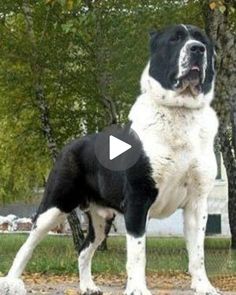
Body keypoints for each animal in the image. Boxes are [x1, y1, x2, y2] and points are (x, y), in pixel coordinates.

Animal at [0, 25, 221, 295]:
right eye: (175, 39)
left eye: (202, 42)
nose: (196, 49)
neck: (180, 114)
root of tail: (71, 144)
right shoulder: (138, 199)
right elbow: (137, 252)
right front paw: (137, 289)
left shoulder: (197, 203)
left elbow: (198, 252)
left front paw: (204, 286)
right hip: (54, 205)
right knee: (28, 245)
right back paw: (11, 282)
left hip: (100, 220)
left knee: (84, 250)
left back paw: (88, 286)